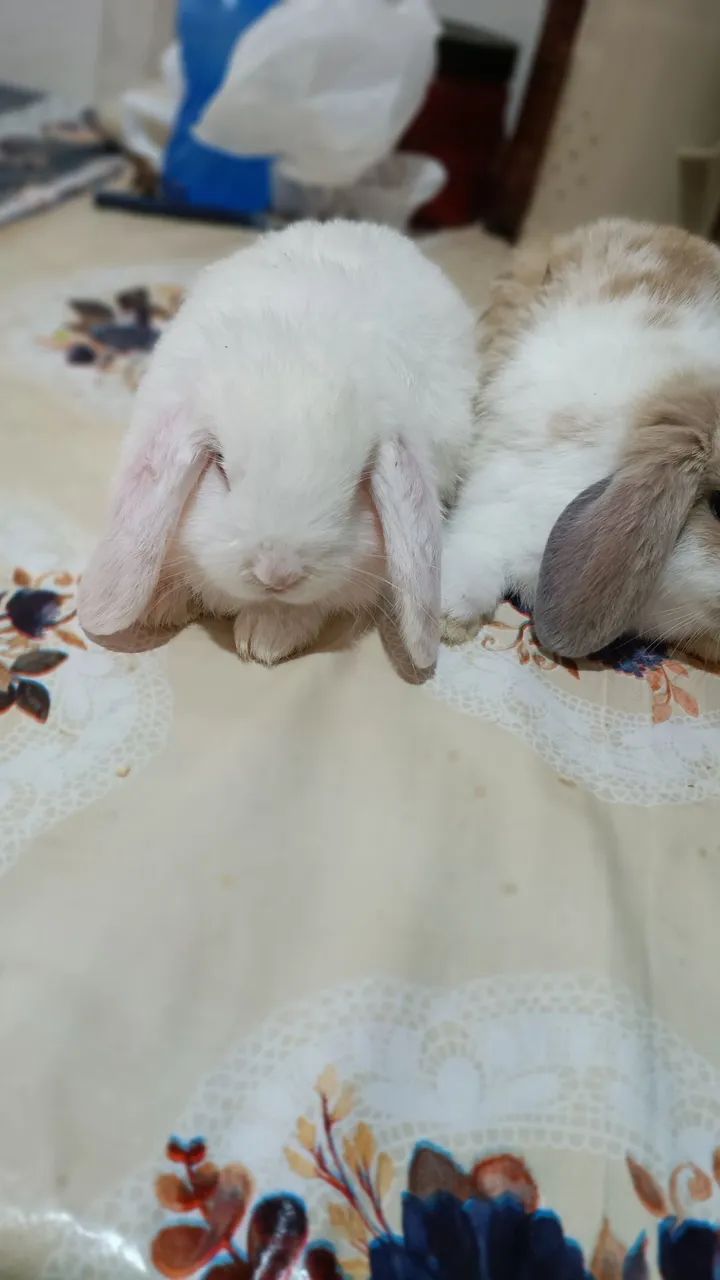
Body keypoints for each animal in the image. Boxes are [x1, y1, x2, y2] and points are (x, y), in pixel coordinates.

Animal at [78, 219, 477, 670]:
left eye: (358, 482)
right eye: (220, 466)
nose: (277, 574)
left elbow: (308, 608)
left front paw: (264, 639)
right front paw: (158, 606)